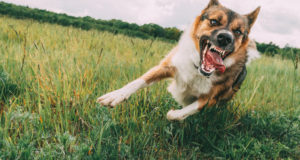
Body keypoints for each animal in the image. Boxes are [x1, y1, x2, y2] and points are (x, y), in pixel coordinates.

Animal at [98, 0, 260, 120]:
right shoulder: (167, 66)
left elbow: (180, 113)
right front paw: (115, 96)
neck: (198, 69)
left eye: (238, 31)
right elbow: (139, 81)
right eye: (214, 21)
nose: (226, 38)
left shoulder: (210, 99)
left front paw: (173, 112)